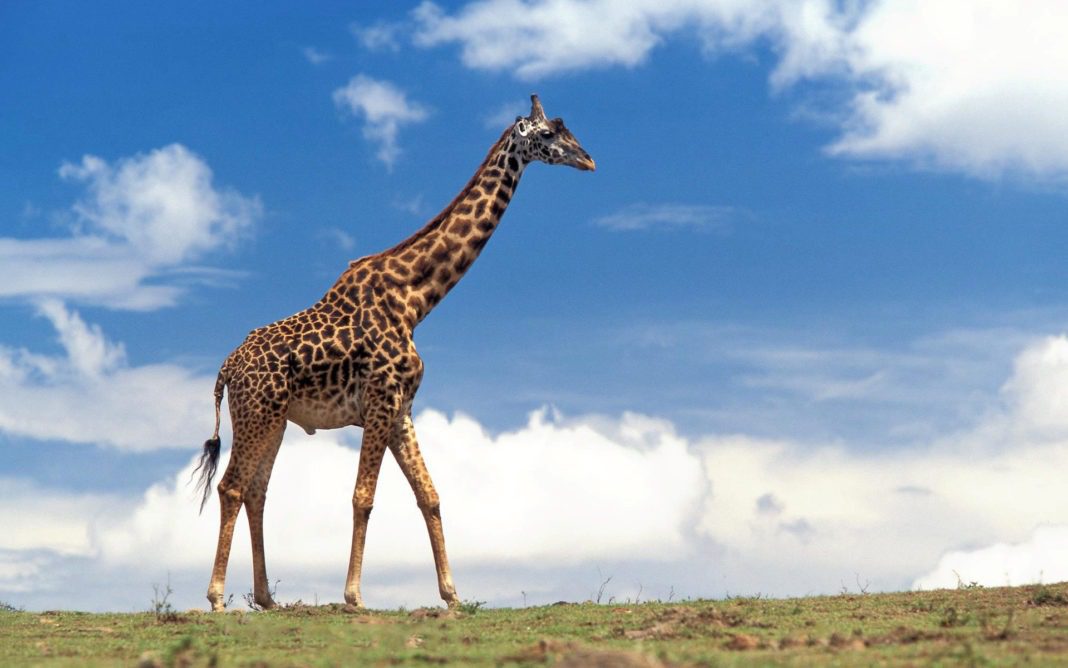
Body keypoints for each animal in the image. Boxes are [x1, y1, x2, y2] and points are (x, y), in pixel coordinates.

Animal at [193, 95, 595, 611]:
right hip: (257, 413)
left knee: (257, 491)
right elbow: (363, 496)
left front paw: (451, 595)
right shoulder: (381, 401)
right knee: (232, 486)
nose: (588, 160)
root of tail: (225, 368)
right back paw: (217, 598)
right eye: (548, 134)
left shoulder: (402, 408)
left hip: (274, 419)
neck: (416, 300)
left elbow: (430, 495)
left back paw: (265, 598)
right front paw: (353, 596)